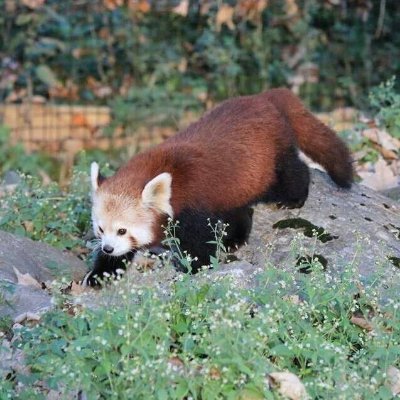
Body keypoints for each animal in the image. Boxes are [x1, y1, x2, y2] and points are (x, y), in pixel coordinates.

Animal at [83, 89, 352, 286]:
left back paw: (294, 198)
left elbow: (198, 242)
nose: (107, 247)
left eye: (122, 230)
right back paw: (235, 239)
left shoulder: (193, 206)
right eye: (100, 229)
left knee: (293, 172)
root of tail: (264, 97)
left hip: (272, 160)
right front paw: (100, 273)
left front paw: (193, 267)